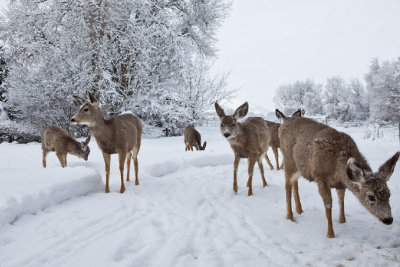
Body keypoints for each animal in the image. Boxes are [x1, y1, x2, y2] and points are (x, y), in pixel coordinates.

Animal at [276, 110, 400, 240]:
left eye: (389, 194)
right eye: (371, 196)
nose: (388, 219)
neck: (337, 165)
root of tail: (284, 122)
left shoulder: (340, 183)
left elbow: (341, 199)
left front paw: (342, 220)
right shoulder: (320, 177)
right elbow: (328, 205)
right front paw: (330, 234)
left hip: (299, 167)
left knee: (295, 183)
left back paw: (299, 210)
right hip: (289, 161)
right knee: (287, 185)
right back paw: (290, 216)